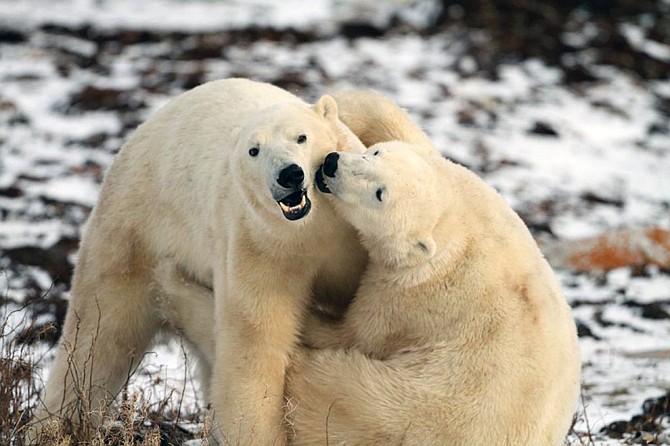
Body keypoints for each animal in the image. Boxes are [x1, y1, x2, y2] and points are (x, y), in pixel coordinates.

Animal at [31, 78, 368, 444]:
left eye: (301, 137)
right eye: (254, 150)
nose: (288, 174)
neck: (313, 229)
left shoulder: (346, 243)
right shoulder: (261, 245)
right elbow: (253, 343)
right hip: (133, 231)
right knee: (99, 335)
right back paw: (53, 428)